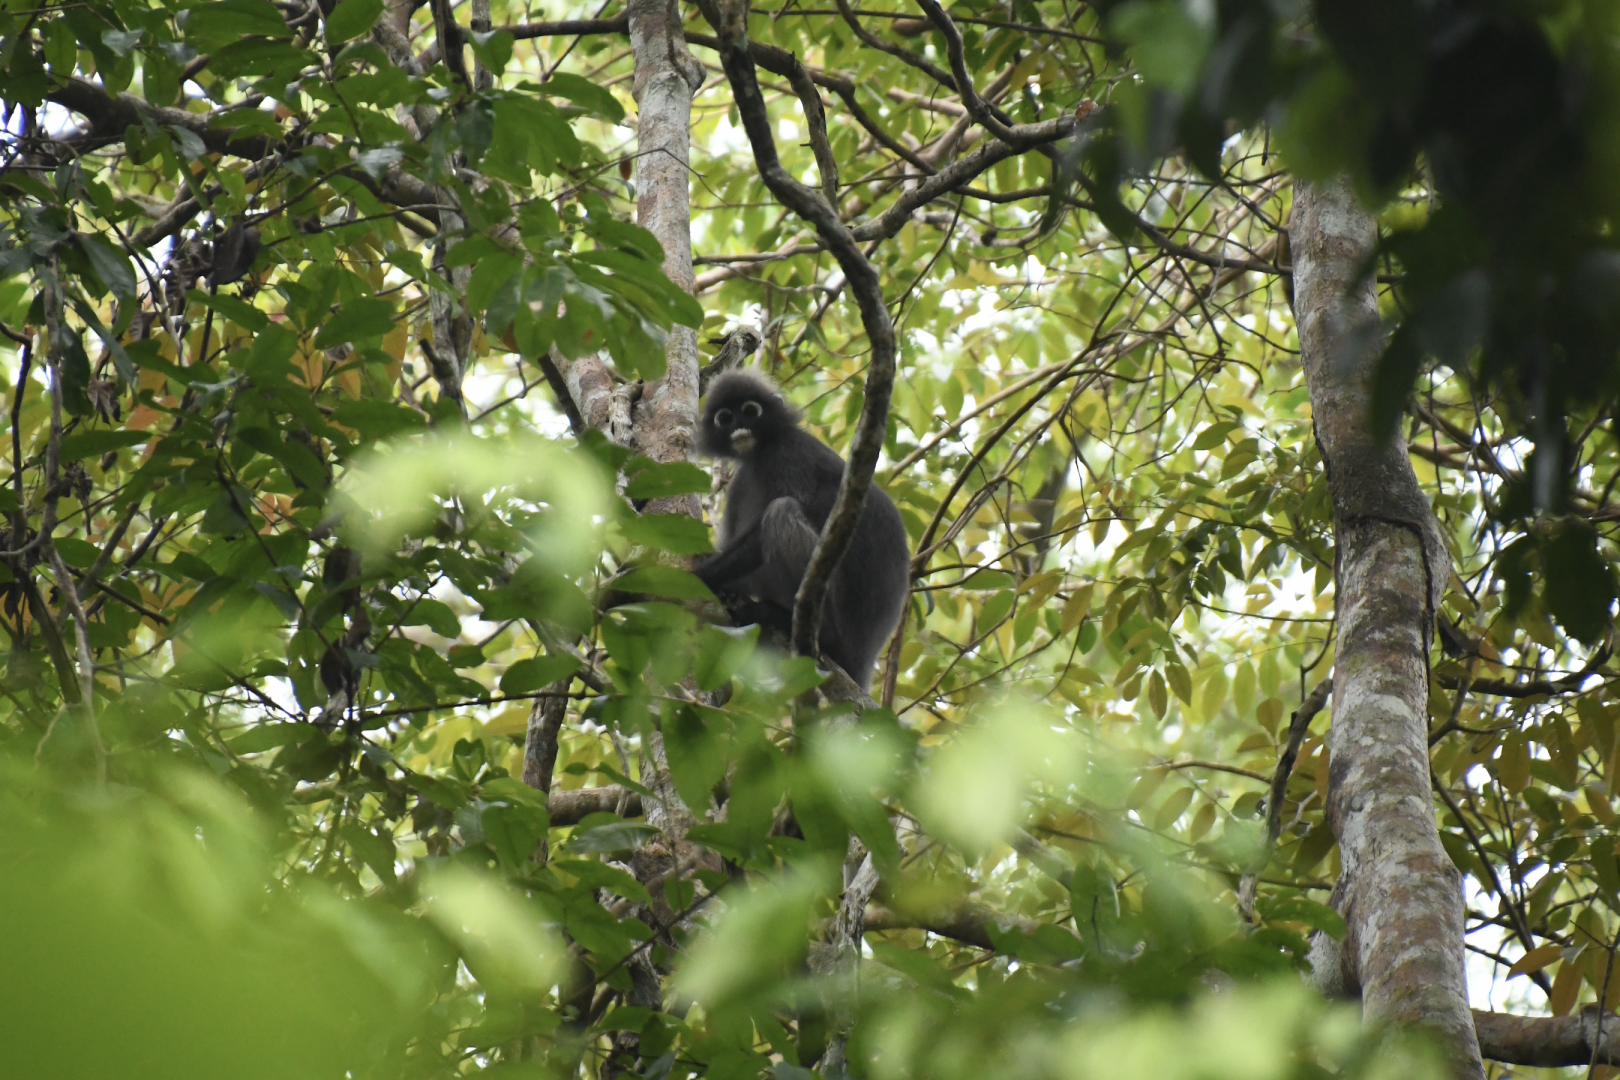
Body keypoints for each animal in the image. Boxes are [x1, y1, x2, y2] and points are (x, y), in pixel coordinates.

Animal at [694, 371, 910, 691]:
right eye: (725, 418)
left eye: (750, 411)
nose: (740, 428)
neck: (760, 450)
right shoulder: (743, 478)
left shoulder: (788, 452)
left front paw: (696, 575)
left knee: (781, 510)